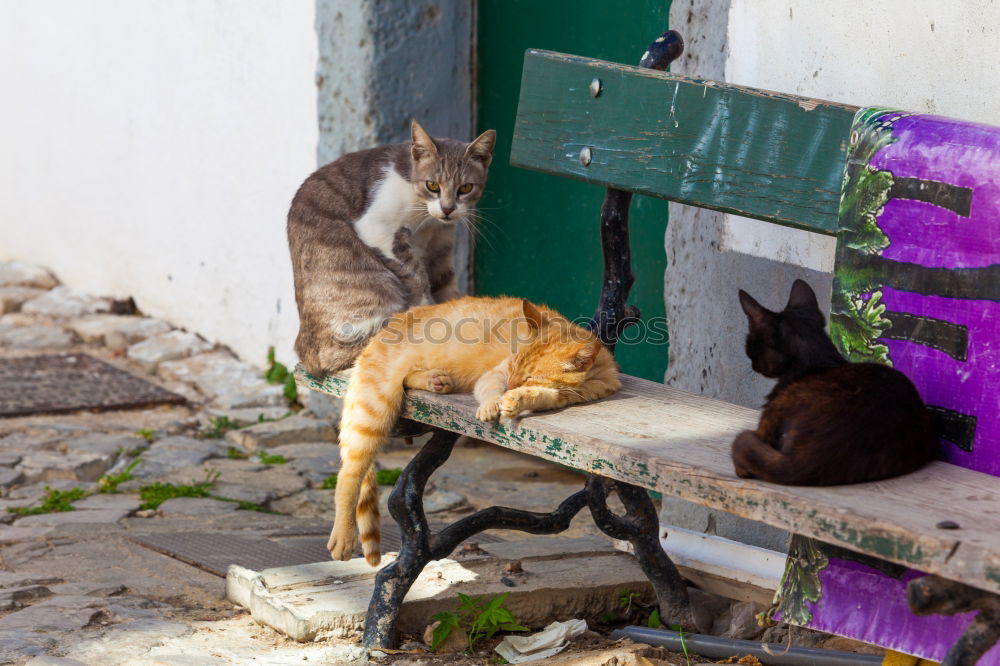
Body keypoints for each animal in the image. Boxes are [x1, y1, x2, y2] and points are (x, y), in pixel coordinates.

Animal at [288, 120, 494, 374]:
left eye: (465, 188)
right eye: (432, 185)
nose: (447, 209)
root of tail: (307, 354)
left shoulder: (441, 245)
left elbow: (445, 285)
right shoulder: (378, 229)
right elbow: (417, 277)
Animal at [332, 294, 620, 560]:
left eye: (528, 377)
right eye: (514, 364)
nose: (511, 384)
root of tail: (387, 327)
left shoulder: (567, 395)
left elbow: (544, 393)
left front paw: (519, 399)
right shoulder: (494, 375)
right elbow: (492, 390)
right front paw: (493, 405)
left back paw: (436, 380)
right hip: (374, 406)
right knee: (349, 474)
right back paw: (343, 539)